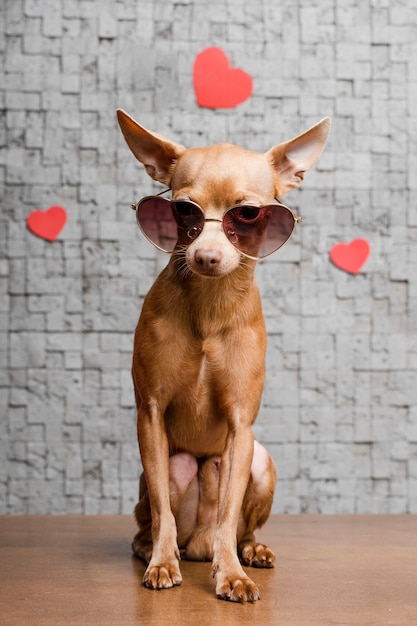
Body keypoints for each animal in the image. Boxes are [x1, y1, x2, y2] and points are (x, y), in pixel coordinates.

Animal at [115, 108, 330, 600]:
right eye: (183, 211)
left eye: (248, 214)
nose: (207, 256)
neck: (209, 308)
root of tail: (197, 544)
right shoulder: (149, 415)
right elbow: (161, 510)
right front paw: (160, 563)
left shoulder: (240, 427)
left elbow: (230, 512)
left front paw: (231, 573)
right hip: (173, 466)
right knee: (156, 518)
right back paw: (154, 549)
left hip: (260, 460)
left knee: (233, 527)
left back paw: (249, 550)